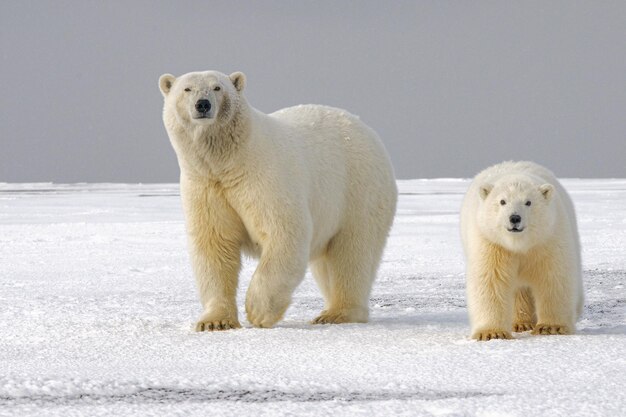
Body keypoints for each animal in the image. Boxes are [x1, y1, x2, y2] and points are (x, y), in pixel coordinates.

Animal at [160, 70, 394, 330]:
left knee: (352, 252)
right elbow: (214, 245)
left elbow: (284, 232)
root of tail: (367, 129)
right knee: (327, 262)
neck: (230, 161)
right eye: (187, 89)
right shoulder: (205, 186)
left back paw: (337, 313)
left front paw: (258, 311)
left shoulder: (264, 177)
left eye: (217, 87)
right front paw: (215, 322)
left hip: (358, 190)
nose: (203, 104)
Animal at [458, 161, 580, 340]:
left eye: (528, 202)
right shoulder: (491, 243)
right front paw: (492, 333)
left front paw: (551, 327)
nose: (515, 218)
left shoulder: (548, 239)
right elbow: (490, 281)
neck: (519, 244)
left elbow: (553, 277)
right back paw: (521, 323)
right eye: (502, 201)